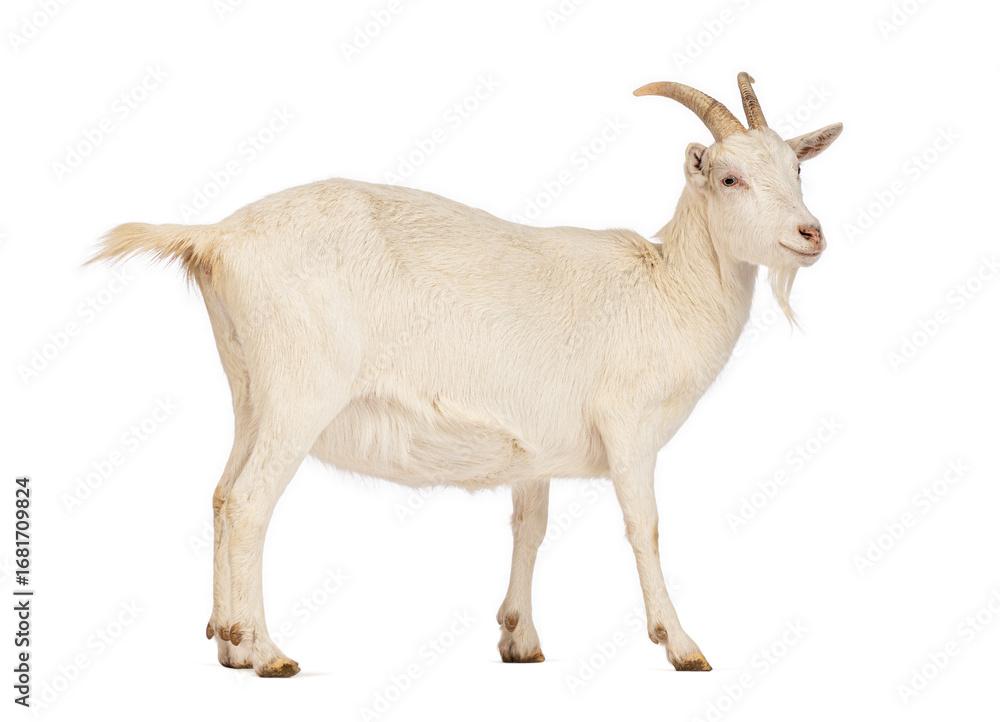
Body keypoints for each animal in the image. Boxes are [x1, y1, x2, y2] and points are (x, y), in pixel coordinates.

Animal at [89, 73, 842, 677]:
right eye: (729, 178)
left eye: (798, 171)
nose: (811, 234)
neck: (666, 289)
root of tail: (216, 238)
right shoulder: (628, 427)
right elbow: (644, 526)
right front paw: (681, 645)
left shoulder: (540, 446)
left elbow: (529, 526)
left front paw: (520, 638)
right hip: (301, 390)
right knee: (249, 503)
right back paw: (267, 652)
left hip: (252, 390)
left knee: (221, 495)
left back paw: (227, 643)